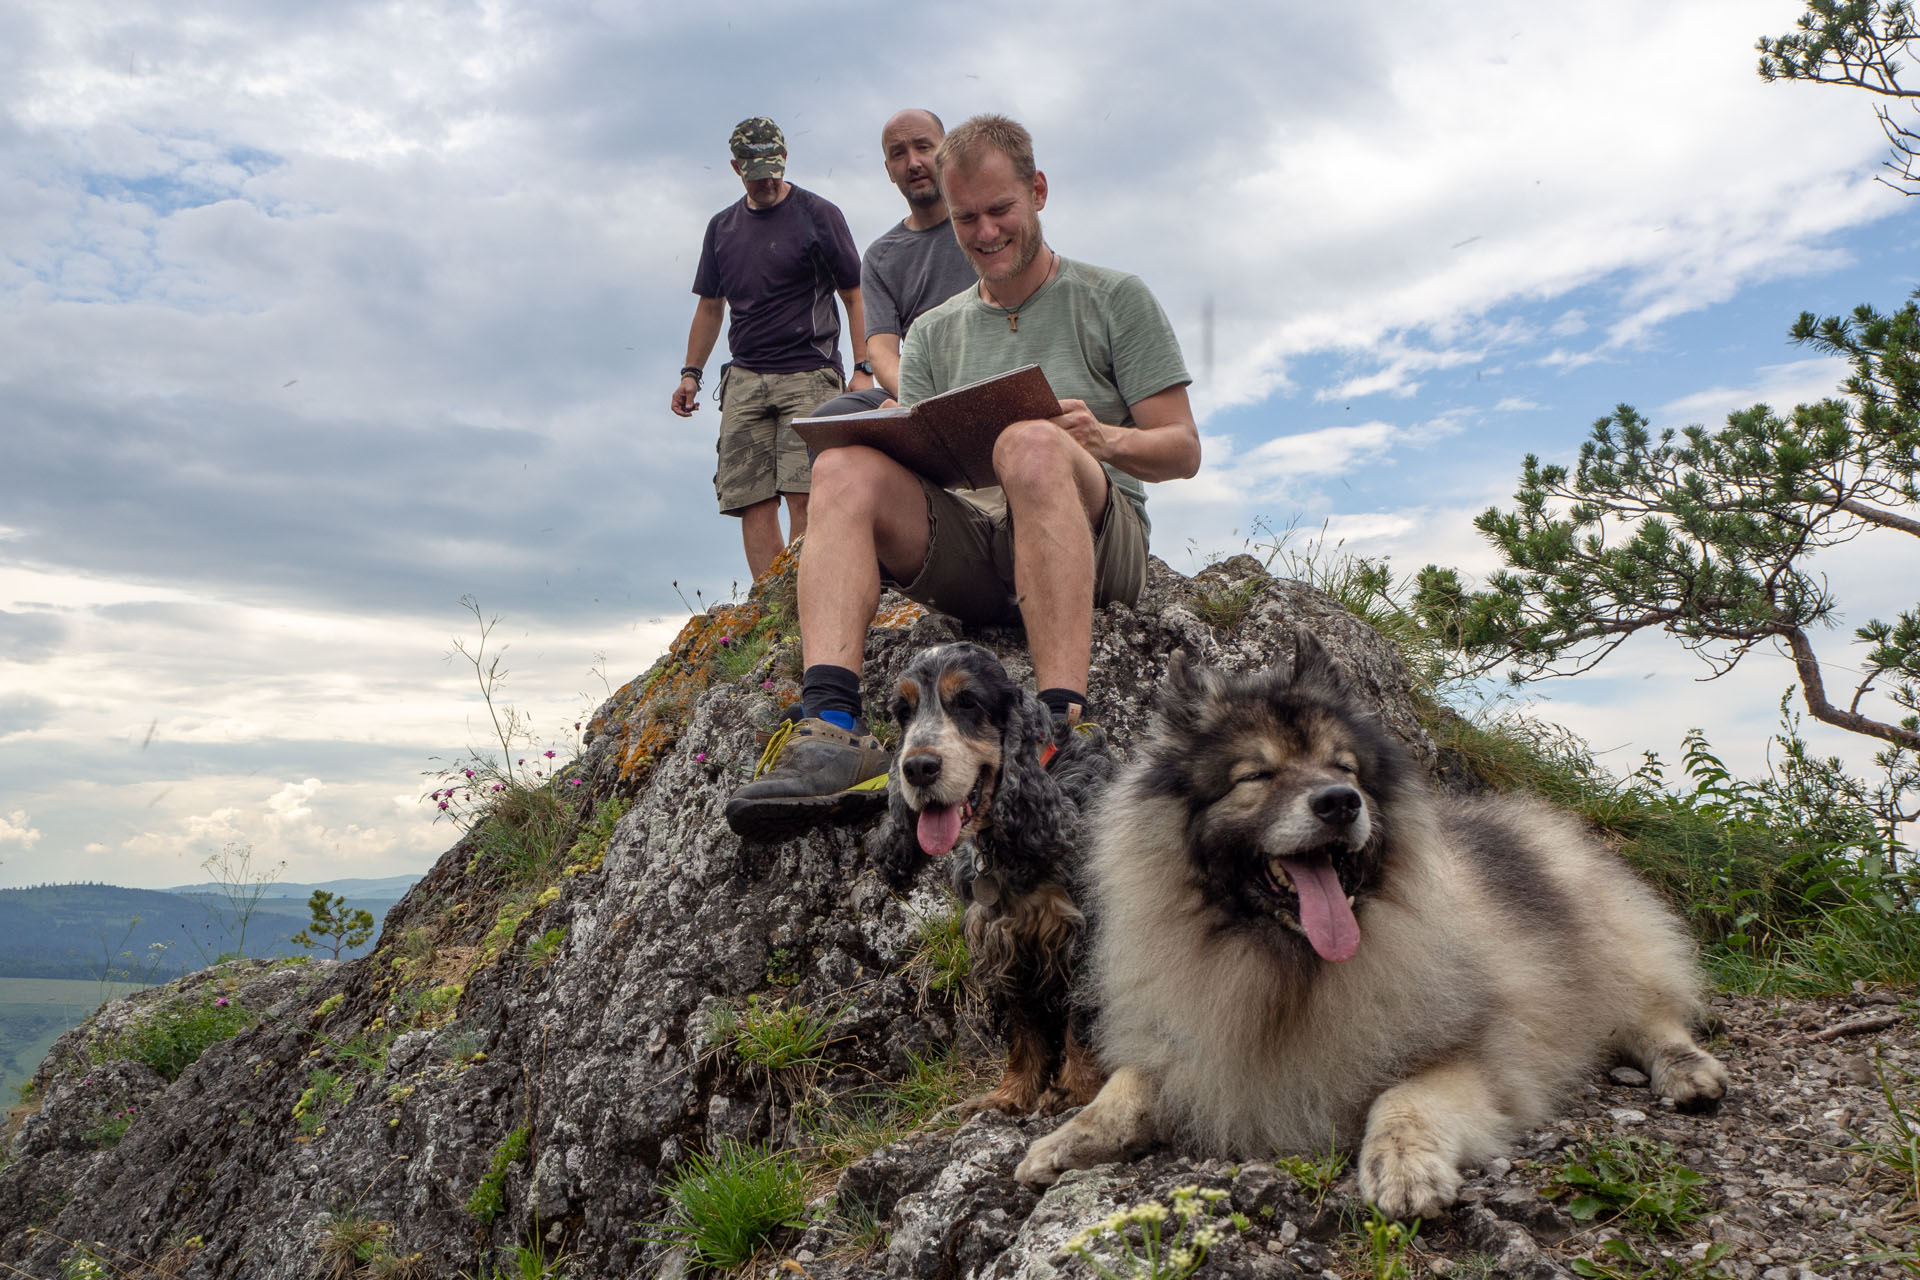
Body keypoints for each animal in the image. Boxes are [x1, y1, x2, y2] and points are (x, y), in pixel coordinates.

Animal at [1013, 633, 1735, 1220]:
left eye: (1344, 768)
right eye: (1257, 775)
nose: (1340, 802)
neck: (1283, 966)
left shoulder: (1473, 1057)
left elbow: (1402, 1100)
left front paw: (1403, 1167)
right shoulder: (1188, 1047)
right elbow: (1125, 1085)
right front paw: (1062, 1141)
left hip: (1611, 952)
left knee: (1651, 1017)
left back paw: (1688, 1072)